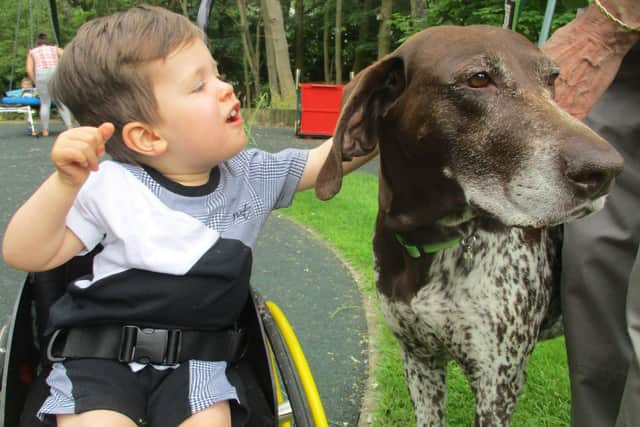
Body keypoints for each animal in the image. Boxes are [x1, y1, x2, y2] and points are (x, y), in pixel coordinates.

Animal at [318, 25, 624, 426]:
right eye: (478, 79)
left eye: (552, 80)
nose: (607, 171)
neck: (429, 240)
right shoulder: (419, 360)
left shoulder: (498, 384)